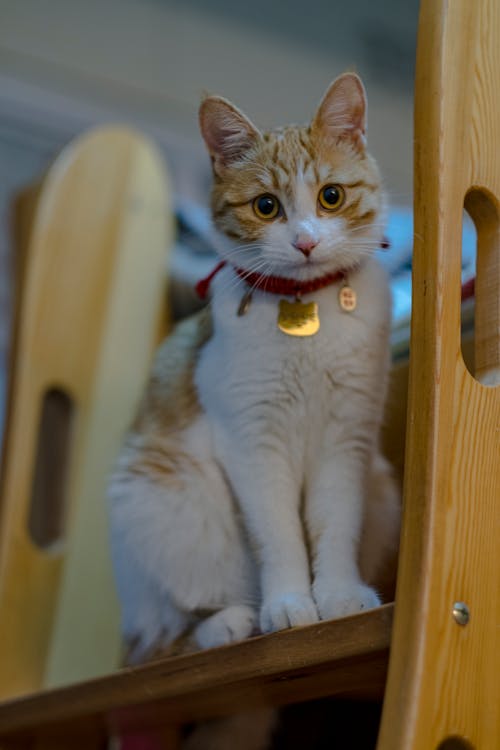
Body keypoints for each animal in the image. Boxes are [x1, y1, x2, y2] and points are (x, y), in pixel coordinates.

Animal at [107, 70, 400, 748]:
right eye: (266, 206)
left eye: (331, 196)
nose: (305, 241)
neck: (306, 315)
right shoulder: (253, 444)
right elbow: (280, 534)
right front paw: (290, 605)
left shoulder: (347, 444)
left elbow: (333, 526)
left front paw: (337, 595)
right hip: (151, 502)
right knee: (161, 639)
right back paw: (233, 623)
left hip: (382, 487)